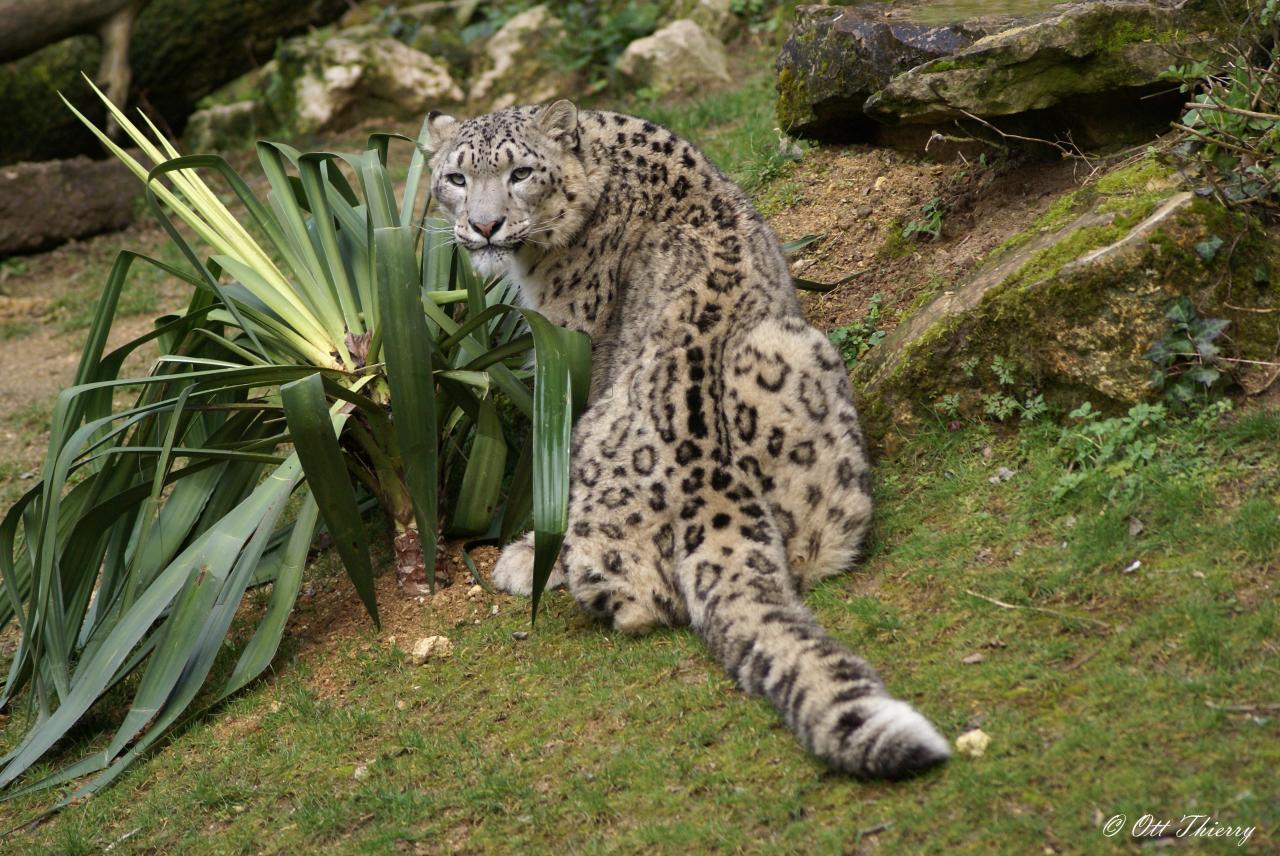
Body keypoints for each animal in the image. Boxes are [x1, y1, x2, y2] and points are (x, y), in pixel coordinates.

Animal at [422, 101, 952, 783]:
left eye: (520, 173)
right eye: (456, 178)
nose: (484, 227)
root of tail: (711, 490)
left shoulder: (570, 345)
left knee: (635, 600)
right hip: (800, 353)